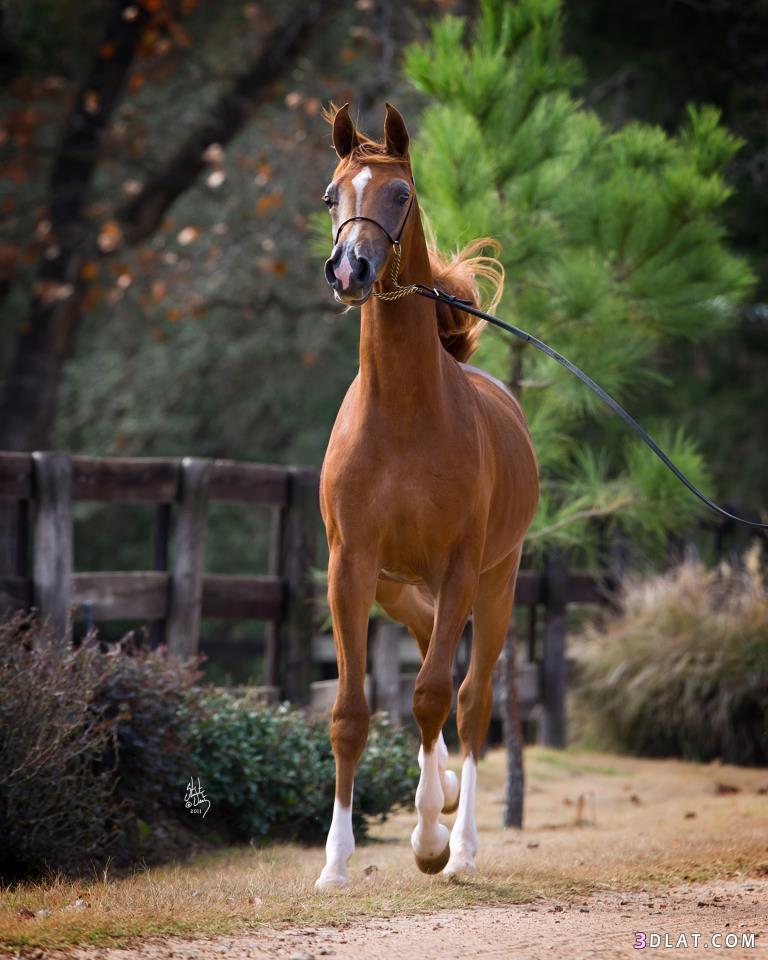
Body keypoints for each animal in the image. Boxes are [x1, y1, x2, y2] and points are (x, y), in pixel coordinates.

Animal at [316, 101, 536, 888]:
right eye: (332, 195)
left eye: (400, 194)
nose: (350, 268)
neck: (404, 414)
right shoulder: (350, 567)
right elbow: (353, 711)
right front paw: (335, 863)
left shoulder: (463, 567)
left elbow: (437, 695)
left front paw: (431, 843)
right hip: (398, 586)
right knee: (426, 672)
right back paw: (433, 791)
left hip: (494, 583)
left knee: (470, 704)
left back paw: (459, 840)